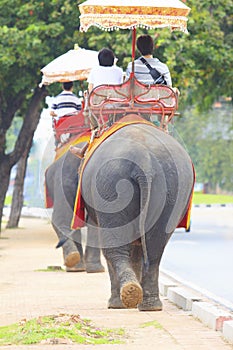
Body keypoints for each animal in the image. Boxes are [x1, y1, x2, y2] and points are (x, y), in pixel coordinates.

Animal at [69, 121, 195, 312]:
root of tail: (145, 160)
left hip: (110, 187)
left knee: (114, 247)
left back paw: (124, 297)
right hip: (173, 190)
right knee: (155, 247)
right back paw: (148, 304)